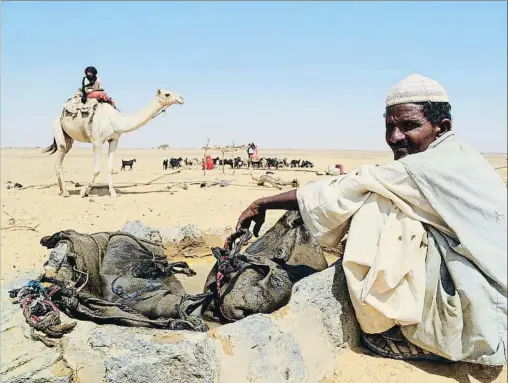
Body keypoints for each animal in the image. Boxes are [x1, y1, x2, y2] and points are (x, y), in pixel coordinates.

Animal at [43, 89, 183, 198]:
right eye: (167, 94)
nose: (181, 98)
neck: (115, 119)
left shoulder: (114, 140)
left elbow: (110, 168)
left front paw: (113, 192)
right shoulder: (97, 141)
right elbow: (97, 170)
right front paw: (84, 191)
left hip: (69, 139)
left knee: (60, 159)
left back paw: (62, 190)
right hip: (57, 127)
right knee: (60, 154)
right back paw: (66, 192)